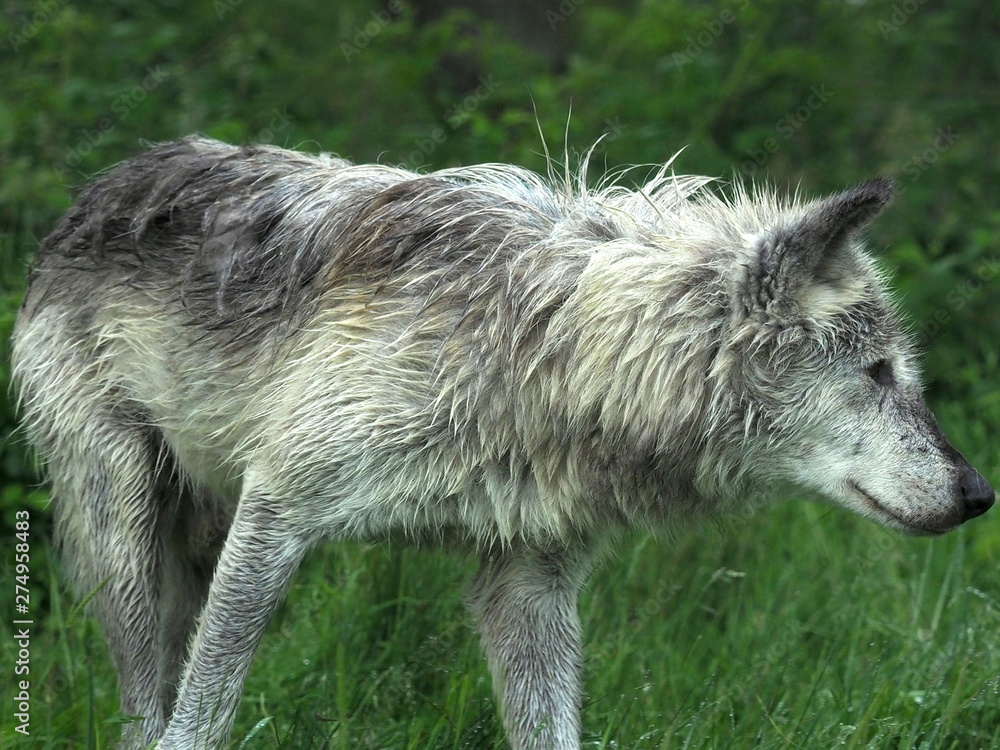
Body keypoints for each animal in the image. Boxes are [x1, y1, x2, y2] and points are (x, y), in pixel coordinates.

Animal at [12, 136, 993, 749]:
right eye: (878, 373)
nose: (980, 493)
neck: (546, 353)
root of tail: (105, 182)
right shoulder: (278, 513)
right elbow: (203, 715)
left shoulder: (528, 578)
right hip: (127, 541)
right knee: (146, 711)